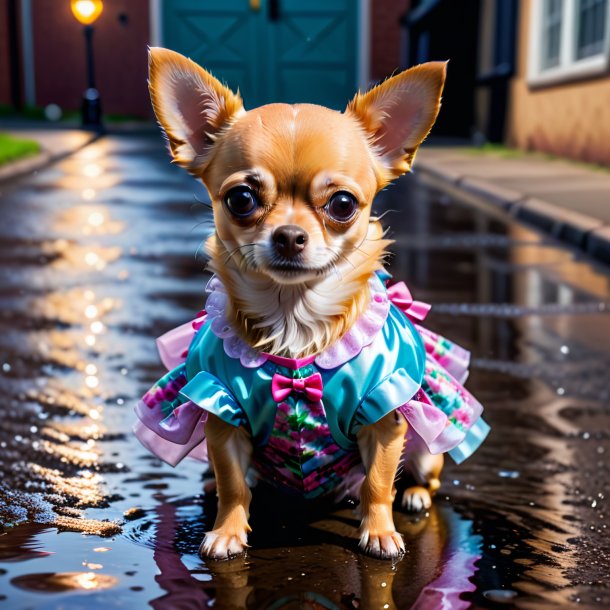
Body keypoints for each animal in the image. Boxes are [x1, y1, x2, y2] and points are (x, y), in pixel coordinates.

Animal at [134, 47, 490, 560]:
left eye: (342, 204)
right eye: (240, 199)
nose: (288, 235)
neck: (294, 320)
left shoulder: (385, 413)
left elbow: (377, 483)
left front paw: (379, 531)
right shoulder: (220, 410)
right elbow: (233, 484)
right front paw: (227, 531)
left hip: (429, 442)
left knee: (421, 472)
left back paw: (414, 495)